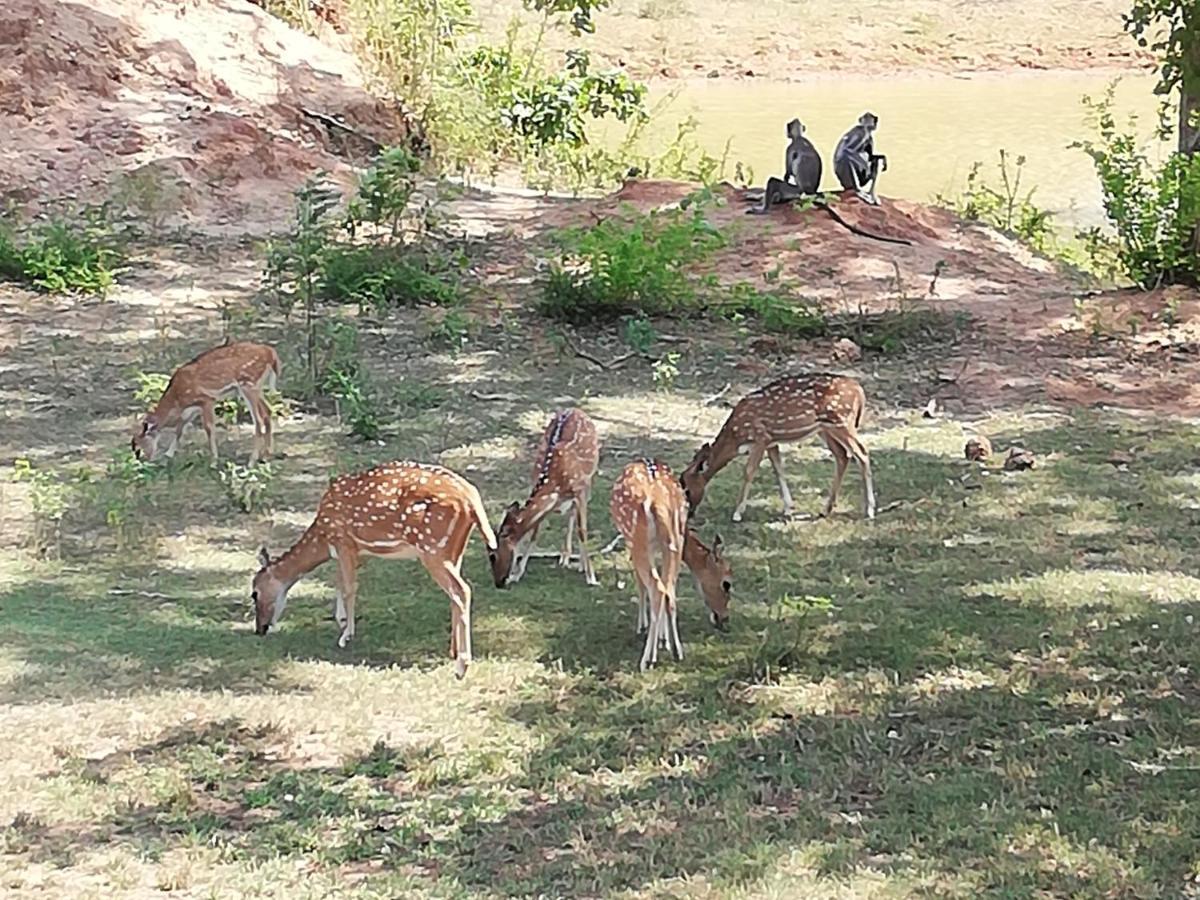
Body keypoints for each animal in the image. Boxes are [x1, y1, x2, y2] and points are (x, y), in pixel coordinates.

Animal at [132, 338, 280, 465]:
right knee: (267, 411)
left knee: (258, 420)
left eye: (138, 445)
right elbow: (180, 429)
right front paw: (169, 454)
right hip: (257, 387)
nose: (144, 460)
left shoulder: (206, 399)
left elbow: (208, 428)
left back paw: (251, 461)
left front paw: (214, 460)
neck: (177, 400)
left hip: (248, 384)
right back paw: (266, 456)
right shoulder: (192, 409)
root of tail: (271, 354)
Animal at [253, 460, 496, 681]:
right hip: (453, 551)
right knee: (455, 593)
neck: (322, 538)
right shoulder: (355, 552)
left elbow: (349, 587)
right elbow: (338, 581)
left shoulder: (344, 541)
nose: (260, 629)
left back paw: (462, 666)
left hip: (432, 548)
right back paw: (452, 651)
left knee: (462, 591)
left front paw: (346, 635)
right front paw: (341, 620)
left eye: (254, 593)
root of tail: (472, 498)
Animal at [487, 410, 600, 592]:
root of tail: (577, 410)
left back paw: (579, 564)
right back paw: (565, 557)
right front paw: (518, 574)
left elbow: (582, 531)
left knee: (576, 517)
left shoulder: (580, 491)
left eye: (492, 556)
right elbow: (535, 532)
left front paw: (592, 577)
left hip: (590, 478)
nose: (498, 583)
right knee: (572, 514)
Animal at [609, 460, 729, 672]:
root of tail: (657, 502)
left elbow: (642, 585)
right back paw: (677, 651)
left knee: (657, 588)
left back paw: (647, 659)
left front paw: (644, 628)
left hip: (637, 539)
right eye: (726, 584)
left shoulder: (636, 546)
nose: (724, 619)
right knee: (669, 590)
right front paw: (663, 639)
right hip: (675, 540)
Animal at [686, 374, 873, 520]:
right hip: (825, 428)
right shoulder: (772, 441)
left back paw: (869, 510)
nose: (690, 513)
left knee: (862, 453)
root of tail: (860, 391)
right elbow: (779, 469)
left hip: (841, 420)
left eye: (686, 487)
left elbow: (749, 471)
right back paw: (825, 510)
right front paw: (788, 508)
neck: (735, 436)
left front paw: (738, 512)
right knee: (842, 456)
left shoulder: (760, 437)